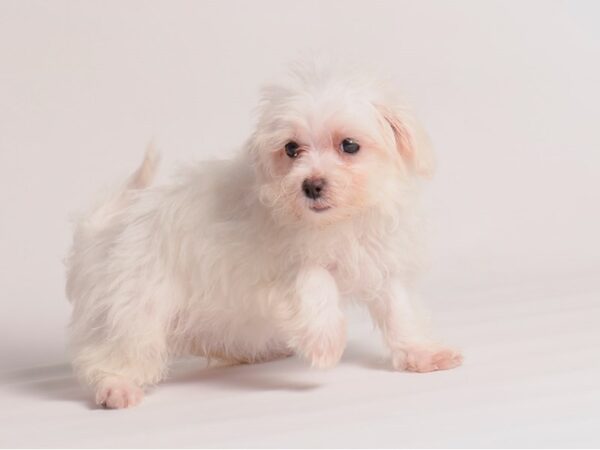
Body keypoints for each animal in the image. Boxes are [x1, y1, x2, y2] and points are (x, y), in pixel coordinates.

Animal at [64, 61, 464, 410]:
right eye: (291, 149)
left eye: (349, 145)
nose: (311, 185)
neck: (339, 223)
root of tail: (103, 231)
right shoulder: (276, 266)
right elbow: (317, 280)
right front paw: (325, 342)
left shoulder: (381, 263)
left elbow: (400, 312)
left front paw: (423, 353)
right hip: (135, 309)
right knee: (108, 355)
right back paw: (116, 388)